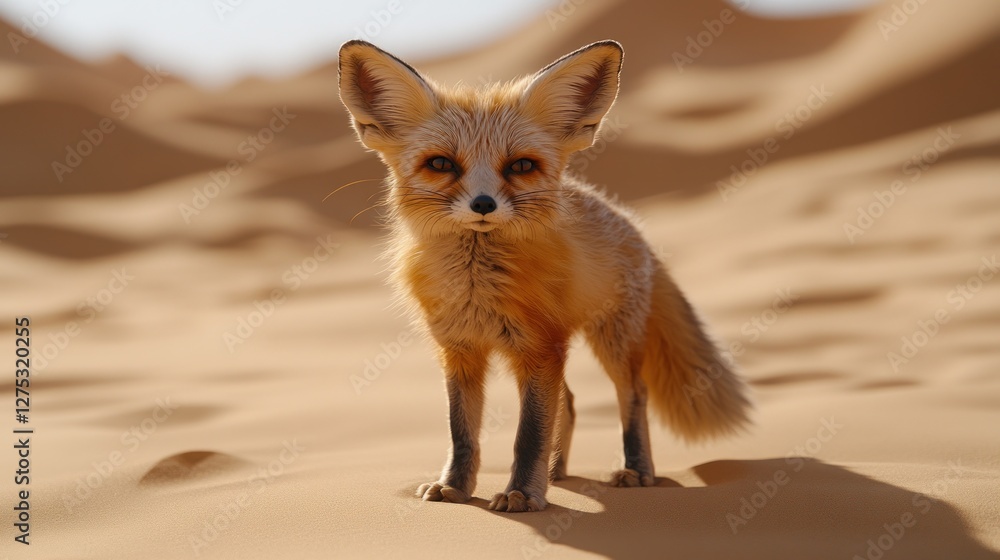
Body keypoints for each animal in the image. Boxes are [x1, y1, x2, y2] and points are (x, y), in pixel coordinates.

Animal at [338, 39, 751, 513]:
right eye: (441, 164)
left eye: (520, 166)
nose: (483, 204)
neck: (478, 286)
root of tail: (628, 220)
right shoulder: (461, 350)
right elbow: (462, 433)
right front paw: (455, 487)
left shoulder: (539, 349)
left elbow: (529, 433)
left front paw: (521, 493)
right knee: (568, 402)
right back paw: (558, 472)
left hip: (612, 342)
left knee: (633, 396)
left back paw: (635, 471)